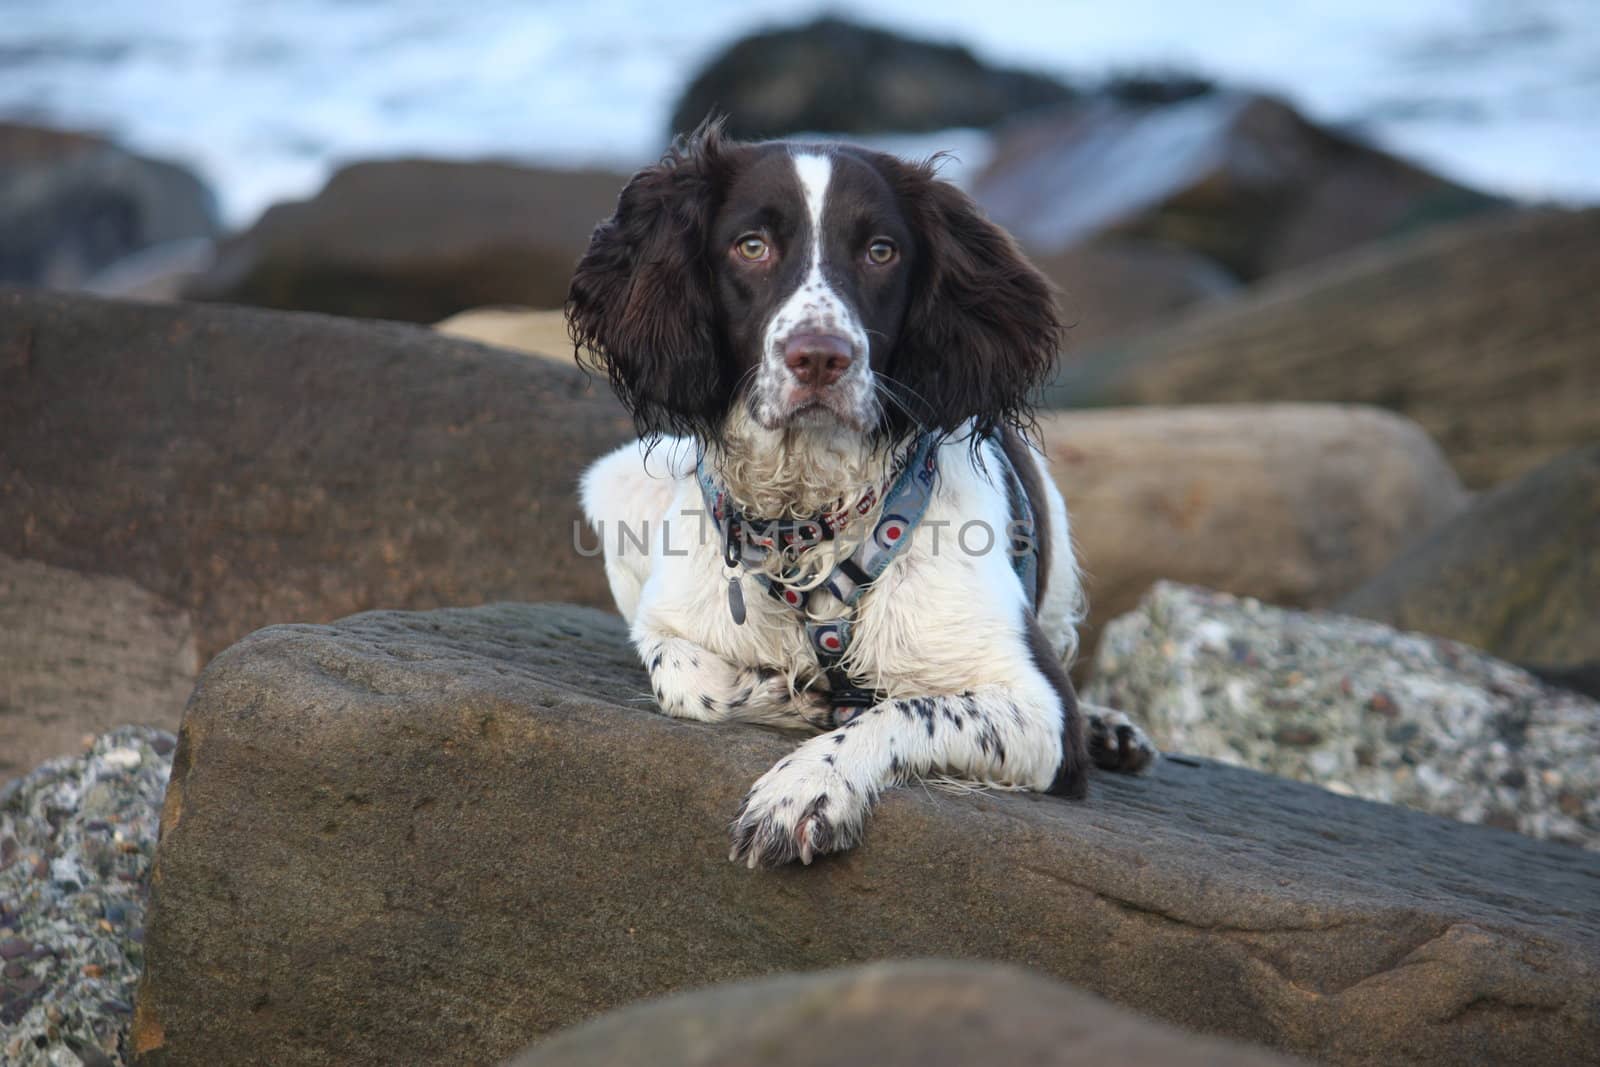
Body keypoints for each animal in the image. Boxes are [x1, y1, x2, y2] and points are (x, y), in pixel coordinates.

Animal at [569, 120, 1158, 870]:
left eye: (881, 251)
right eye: (751, 245)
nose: (820, 357)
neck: (807, 527)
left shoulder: (1042, 714)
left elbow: (902, 708)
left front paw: (806, 786)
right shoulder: (667, 620)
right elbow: (687, 679)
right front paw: (788, 697)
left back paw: (1111, 727)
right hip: (612, 483)